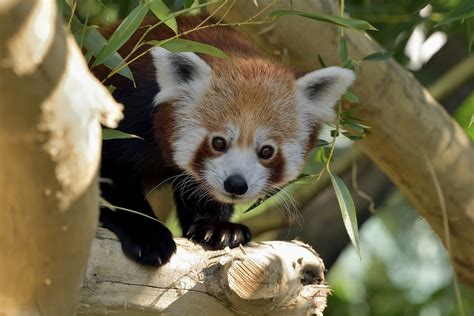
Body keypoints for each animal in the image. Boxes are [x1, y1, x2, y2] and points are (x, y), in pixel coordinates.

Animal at [96, 16, 354, 266]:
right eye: (218, 142)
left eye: (267, 151)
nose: (236, 184)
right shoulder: (128, 111)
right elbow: (109, 180)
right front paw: (147, 234)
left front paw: (218, 227)